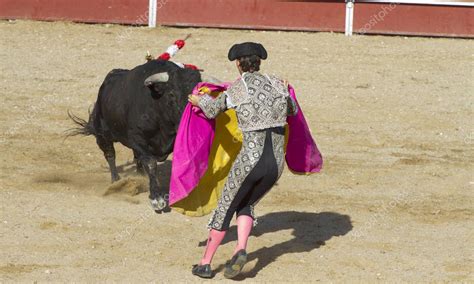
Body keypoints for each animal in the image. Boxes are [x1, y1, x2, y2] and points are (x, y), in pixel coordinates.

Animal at [69, 59, 215, 211]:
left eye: (201, 95)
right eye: (171, 94)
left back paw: (140, 177)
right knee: (110, 155)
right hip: (102, 134)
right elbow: (150, 164)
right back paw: (116, 181)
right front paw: (157, 197)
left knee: (136, 158)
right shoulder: (138, 139)